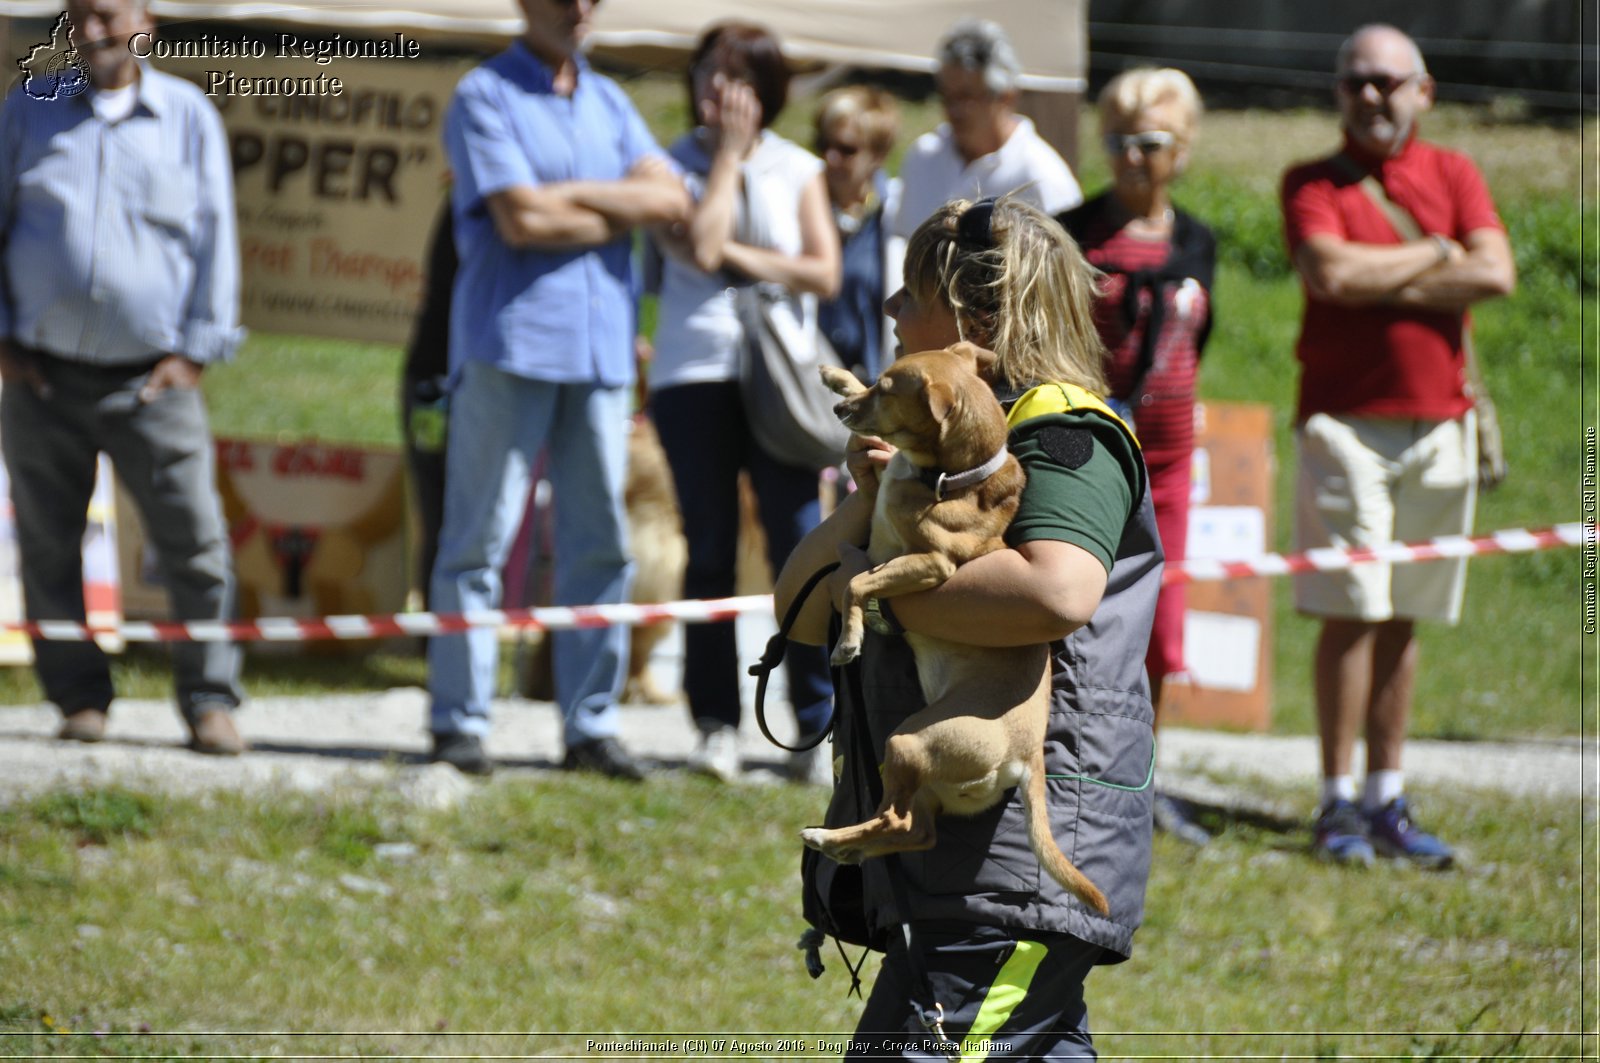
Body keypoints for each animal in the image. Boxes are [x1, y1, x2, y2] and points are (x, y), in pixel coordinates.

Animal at [800, 344, 1113, 915]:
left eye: (887, 389)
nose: (841, 412)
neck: (949, 478)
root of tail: (1026, 759)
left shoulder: (931, 566)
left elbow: (854, 581)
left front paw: (850, 641)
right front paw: (837, 377)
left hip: (907, 743)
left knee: (896, 818)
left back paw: (829, 838)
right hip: (923, 779)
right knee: (915, 830)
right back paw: (847, 846)